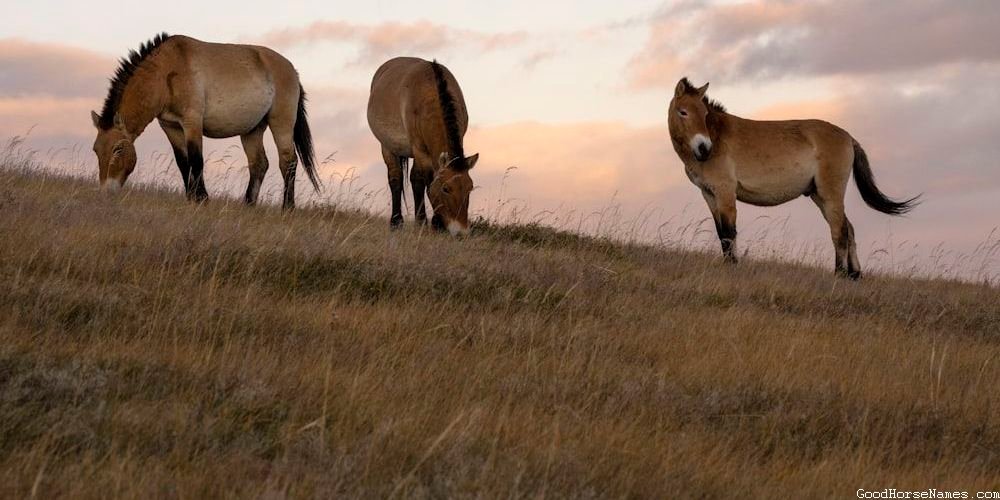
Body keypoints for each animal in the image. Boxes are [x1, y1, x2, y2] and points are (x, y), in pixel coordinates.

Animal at [89, 32, 318, 209]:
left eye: (118, 149)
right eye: (96, 150)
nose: (106, 191)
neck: (166, 72)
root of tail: (293, 71)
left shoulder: (192, 123)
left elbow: (196, 160)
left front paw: (202, 199)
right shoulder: (171, 127)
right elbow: (183, 163)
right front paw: (190, 198)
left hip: (282, 123)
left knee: (288, 161)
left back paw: (287, 207)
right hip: (252, 130)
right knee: (259, 164)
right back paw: (248, 205)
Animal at [368, 56, 480, 236]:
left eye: (470, 188)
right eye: (446, 189)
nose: (461, 232)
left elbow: (421, 180)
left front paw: (432, 223)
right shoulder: (420, 150)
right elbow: (424, 181)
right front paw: (426, 222)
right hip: (388, 147)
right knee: (396, 179)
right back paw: (396, 222)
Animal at [668, 80, 916, 280]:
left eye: (704, 114)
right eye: (683, 112)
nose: (703, 148)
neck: (718, 137)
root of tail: (848, 137)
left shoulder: (725, 192)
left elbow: (730, 232)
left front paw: (733, 266)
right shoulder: (709, 194)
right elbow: (721, 233)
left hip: (830, 195)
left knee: (840, 231)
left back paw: (839, 274)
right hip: (819, 196)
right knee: (849, 228)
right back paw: (855, 275)